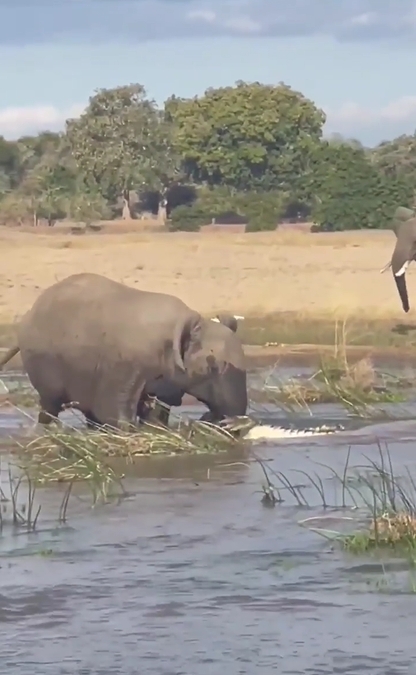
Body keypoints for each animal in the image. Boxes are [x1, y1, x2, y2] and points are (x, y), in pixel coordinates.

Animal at [0, 273, 247, 428]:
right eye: (212, 366)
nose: (216, 419)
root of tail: (27, 315)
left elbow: (156, 414)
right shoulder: (124, 365)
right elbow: (115, 411)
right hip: (41, 363)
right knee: (50, 405)